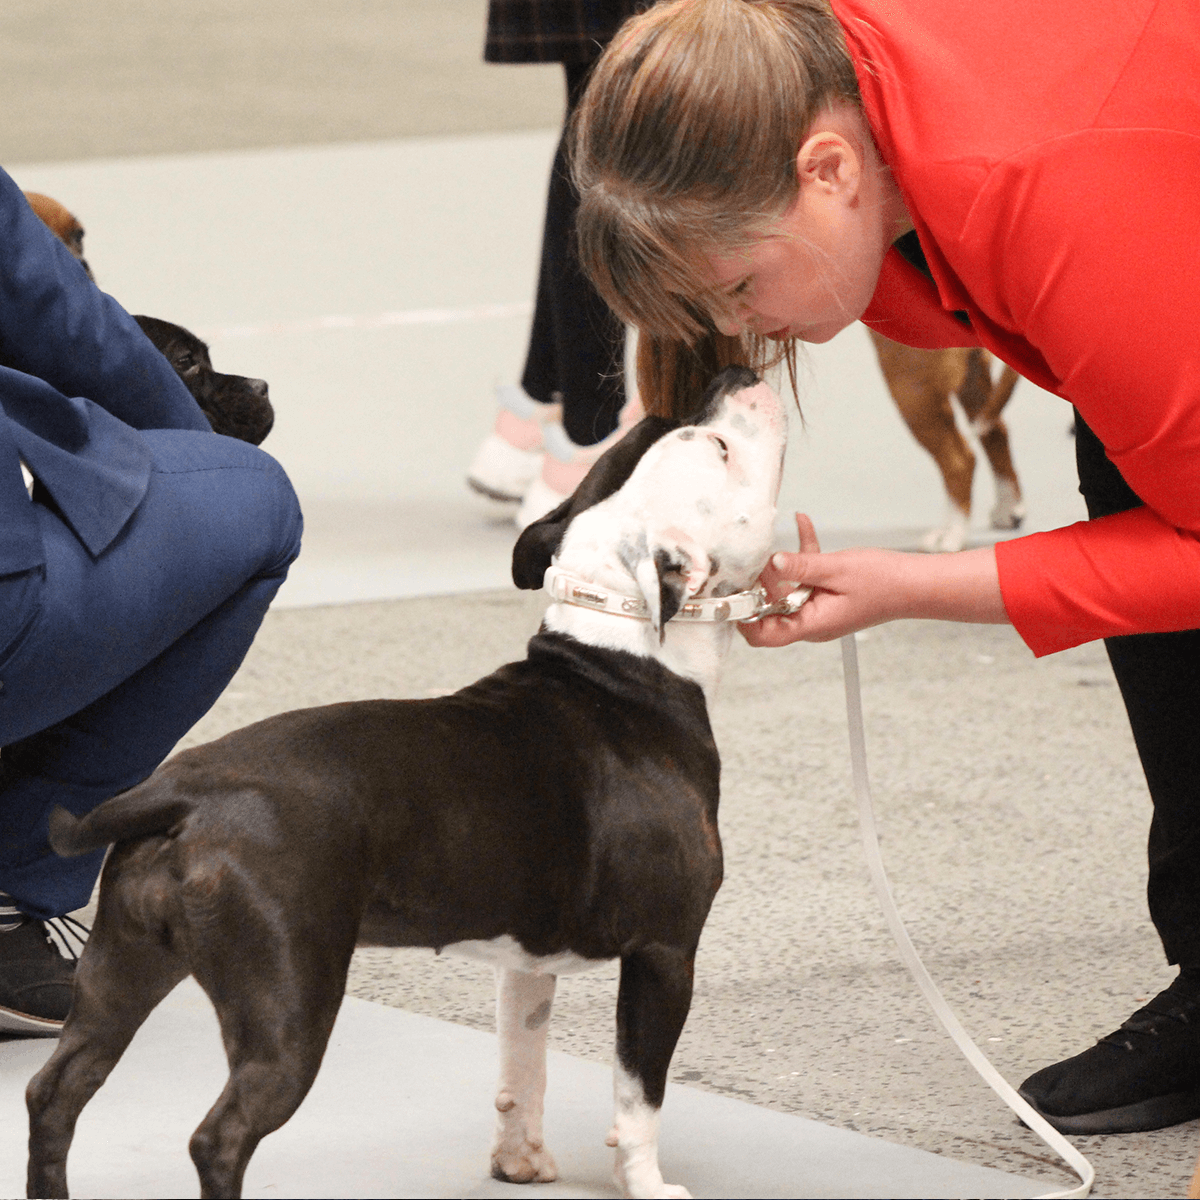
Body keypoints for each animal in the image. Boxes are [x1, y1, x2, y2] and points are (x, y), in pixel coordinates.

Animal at [25, 364, 787, 1200]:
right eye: (718, 448)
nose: (733, 373)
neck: (624, 654)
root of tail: (182, 795)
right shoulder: (665, 955)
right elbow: (639, 1093)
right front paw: (648, 1183)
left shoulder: (527, 959)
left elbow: (523, 1064)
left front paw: (519, 1160)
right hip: (288, 1007)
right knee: (218, 1137)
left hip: (120, 973)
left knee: (57, 1091)